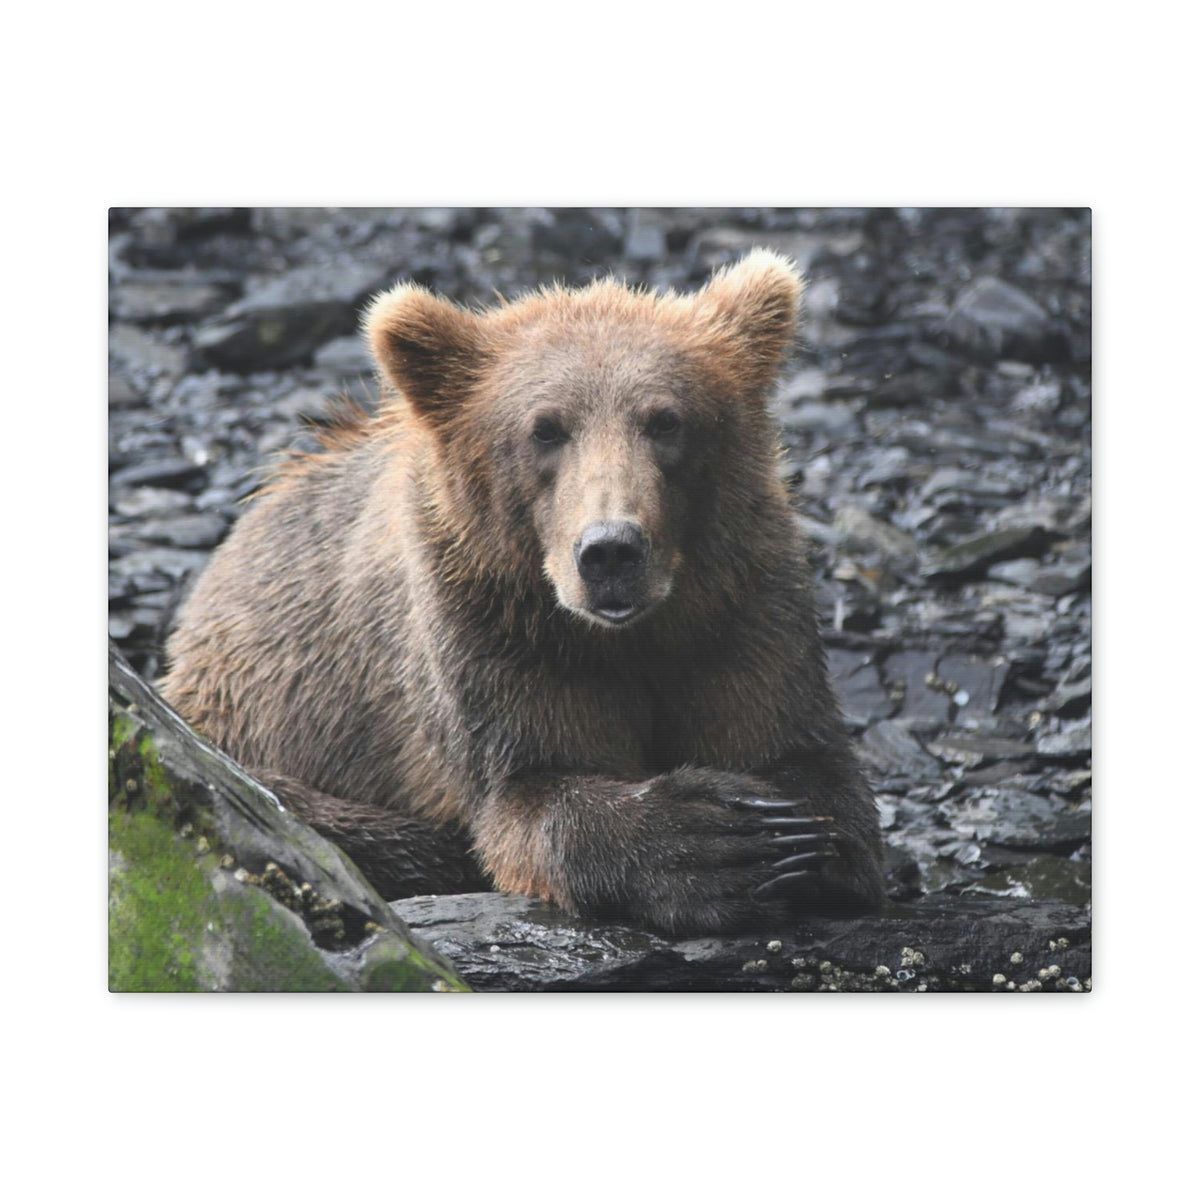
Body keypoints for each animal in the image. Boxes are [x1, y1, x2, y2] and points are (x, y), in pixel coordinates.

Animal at [160, 249, 885, 933]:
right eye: (545, 428)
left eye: (666, 421)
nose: (611, 551)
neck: (626, 635)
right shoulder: (491, 631)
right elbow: (527, 792)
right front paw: (711, 841)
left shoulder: (740, 606)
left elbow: (801, 755)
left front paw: (789, 837)